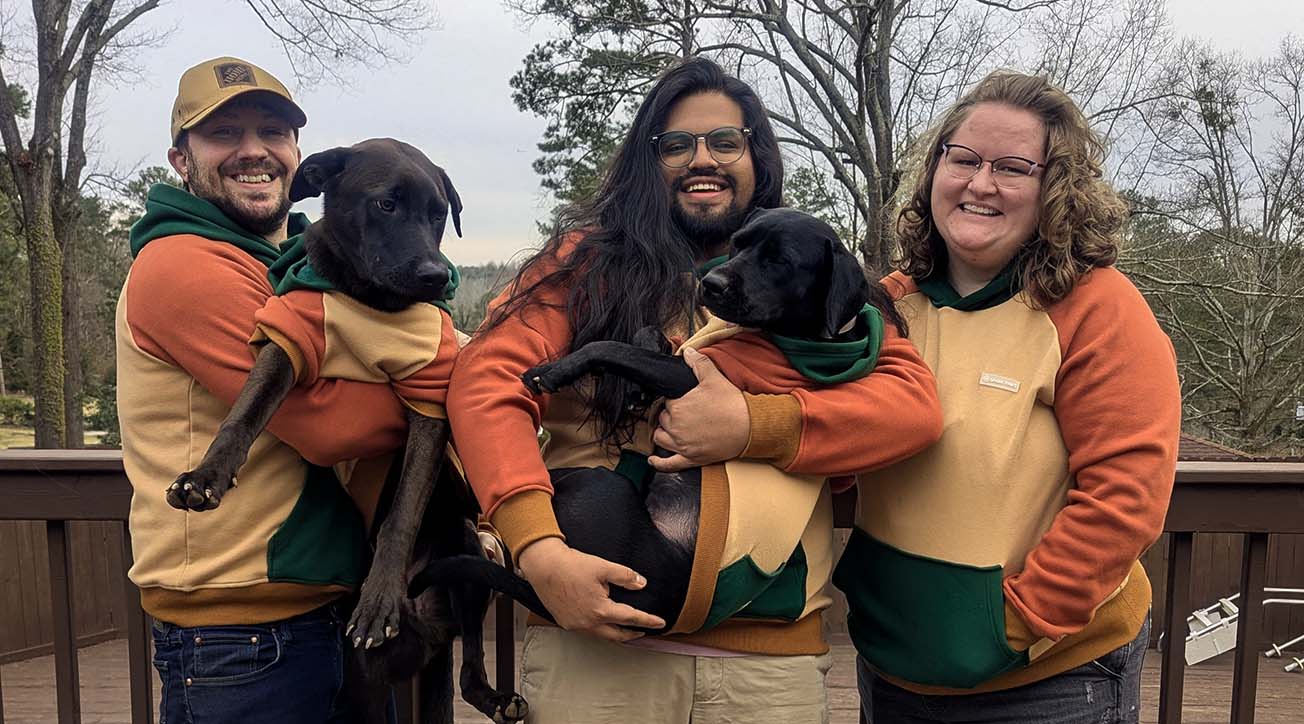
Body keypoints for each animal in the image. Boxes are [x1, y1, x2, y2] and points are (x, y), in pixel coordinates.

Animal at [168, 137, 524, 724]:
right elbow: (245, 411)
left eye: (439, 214)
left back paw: (494, 694)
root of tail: (427, 630)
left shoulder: (428, 394)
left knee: (471, 671)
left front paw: (377, 601)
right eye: (386, 204)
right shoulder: (288, 342)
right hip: (367, 681)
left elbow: (402, 513)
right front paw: (205, 476)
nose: (434, 274)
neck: (368, 300)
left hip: (468, 560)